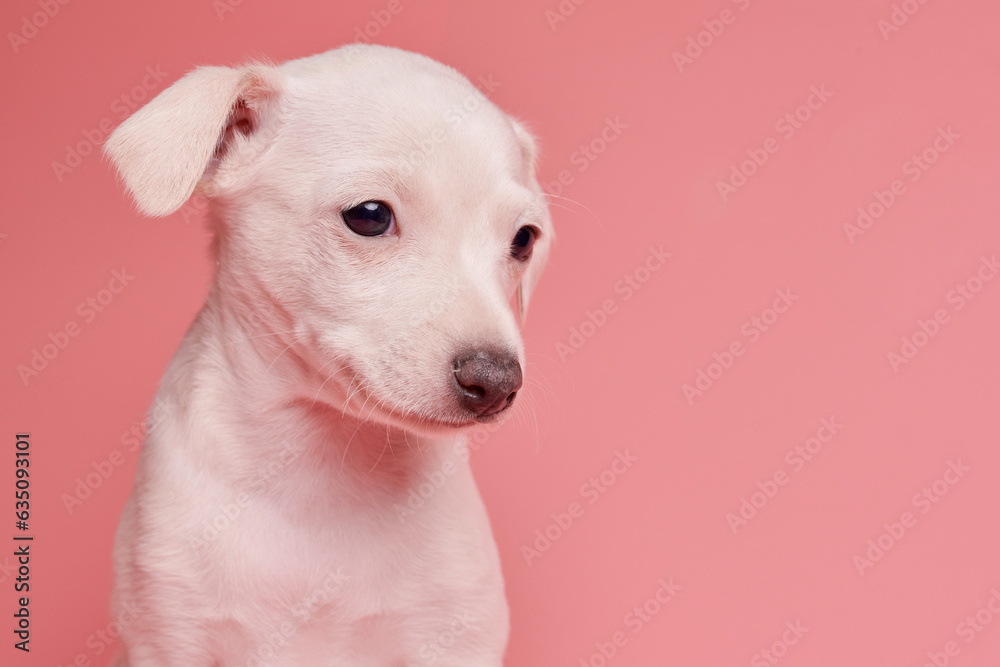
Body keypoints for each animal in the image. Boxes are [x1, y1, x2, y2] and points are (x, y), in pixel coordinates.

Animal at [104, 44, 556, 664]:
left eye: (523, 239)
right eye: (369, 215)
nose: (496, 381)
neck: (320, 468)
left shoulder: (455, 634)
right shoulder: (167, 635)